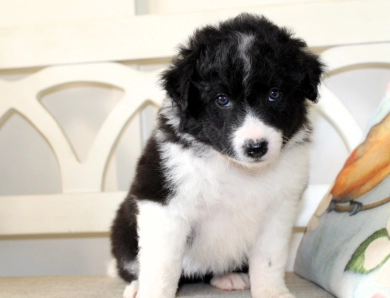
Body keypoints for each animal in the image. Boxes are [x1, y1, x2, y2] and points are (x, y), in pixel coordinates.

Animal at [109, 12, 322, 296]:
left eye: (274, 94)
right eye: (222, 99)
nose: (256, 147)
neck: (237, 170)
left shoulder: (279, 209)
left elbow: (269, 260)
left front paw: (272, 292)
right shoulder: (164, 206)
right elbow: (162, 266)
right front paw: (151, 292)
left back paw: (228, 276)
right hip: (124, 231)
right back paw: (135, 286)